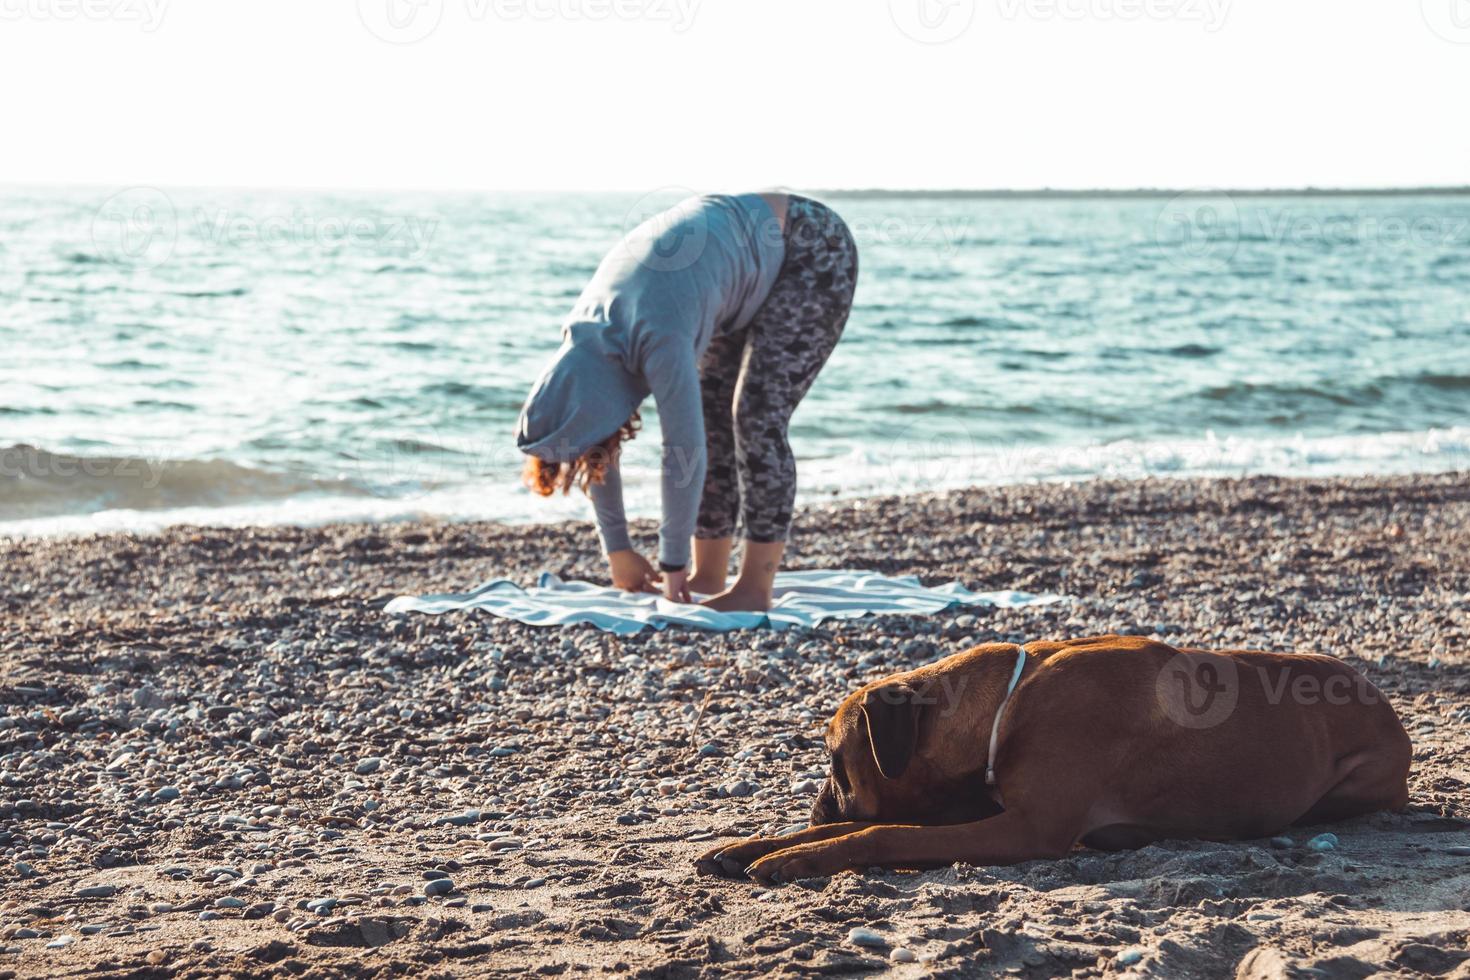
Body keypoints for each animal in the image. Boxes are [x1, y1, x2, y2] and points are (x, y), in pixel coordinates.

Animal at [699, 637, 1411, 881]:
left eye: (836, 762)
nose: (817, 808)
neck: (1007, 706)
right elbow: (877, 824)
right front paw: (752, 845)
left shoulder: (1027, 829)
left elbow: (881, 831)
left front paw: (796, 856)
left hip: (1355, 782)